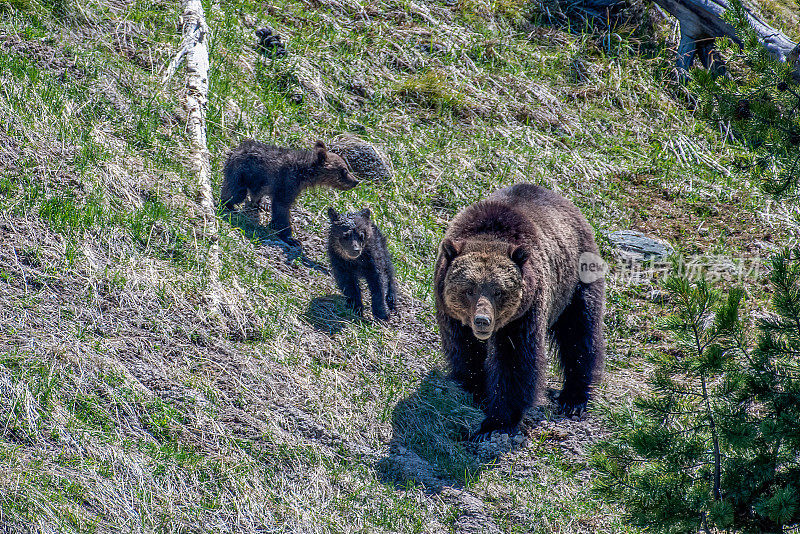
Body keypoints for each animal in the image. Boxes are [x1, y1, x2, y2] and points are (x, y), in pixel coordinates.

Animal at [219, 138, 356, 247]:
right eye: (344, 171)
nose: (356, 181)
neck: (304, 174)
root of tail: (234, 151)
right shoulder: (286, 183)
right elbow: (282, 209)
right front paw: (291, 238)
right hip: (241, 173)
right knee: (235, 192)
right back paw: (229, 205)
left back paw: (260, 204)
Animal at [434, 184, 604, 440]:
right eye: (469, 289)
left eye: (498, 291)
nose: (482, 320)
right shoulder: (453, 317)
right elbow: (466, 351)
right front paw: (478, 390)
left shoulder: (522, 316)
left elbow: (514, 362)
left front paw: (495, 422)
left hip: (575, 283)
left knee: (580, 332)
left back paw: (573, 398)